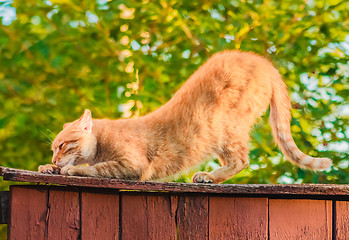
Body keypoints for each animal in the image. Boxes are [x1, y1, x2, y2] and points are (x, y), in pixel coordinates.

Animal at [39, 49, 330, 183]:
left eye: (62, 145)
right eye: (53, 149)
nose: (53, 158)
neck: (100, 142)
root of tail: (263, 62)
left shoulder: (132, 165)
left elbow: (96, 168)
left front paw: (71, 168)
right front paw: (48, 168)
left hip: (225, 129)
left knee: (241, 160)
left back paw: (209, 176)